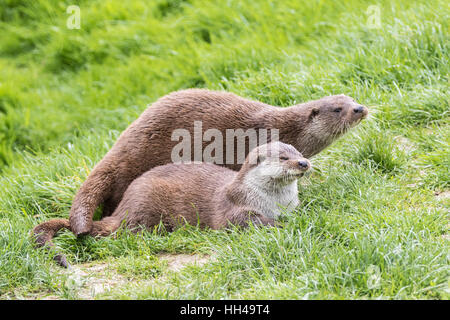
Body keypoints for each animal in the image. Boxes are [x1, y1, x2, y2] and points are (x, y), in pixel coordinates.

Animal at [34, 142, 310, 268]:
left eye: (299, 152)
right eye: (284, 158)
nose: (304, 163)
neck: (274, 203)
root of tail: (122, 208)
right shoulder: (235, 208)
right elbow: (247, 221)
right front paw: (277, 225)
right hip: (145, 205)